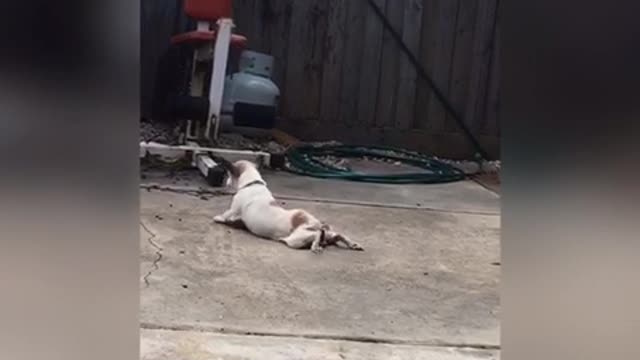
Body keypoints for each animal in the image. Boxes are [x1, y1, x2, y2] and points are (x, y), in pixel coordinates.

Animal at [212, 158, 364, 253]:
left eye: (228, 174)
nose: (226, 182)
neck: (253, 183)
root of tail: (317, 224)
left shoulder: (232, 211)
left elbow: (222, 216)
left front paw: (218, 218)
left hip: (295, 240)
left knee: (317, 235)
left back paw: (316, 245)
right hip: (323, 235)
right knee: (336, 235)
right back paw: (352, 244)